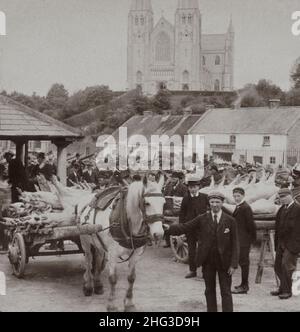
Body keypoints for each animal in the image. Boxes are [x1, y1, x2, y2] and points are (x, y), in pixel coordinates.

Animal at [77, 178, 165, 312]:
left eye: (164, 203)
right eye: (147, 203)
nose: (159, 234)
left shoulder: (136, 254)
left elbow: (131, 278)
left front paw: (129, 303)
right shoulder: (113, 254)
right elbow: (113, 279)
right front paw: (112, 305)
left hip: (98, 243)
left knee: (98, 259)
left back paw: (98, 284)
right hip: (85, 241)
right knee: (88, 261)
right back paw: (88, 286)